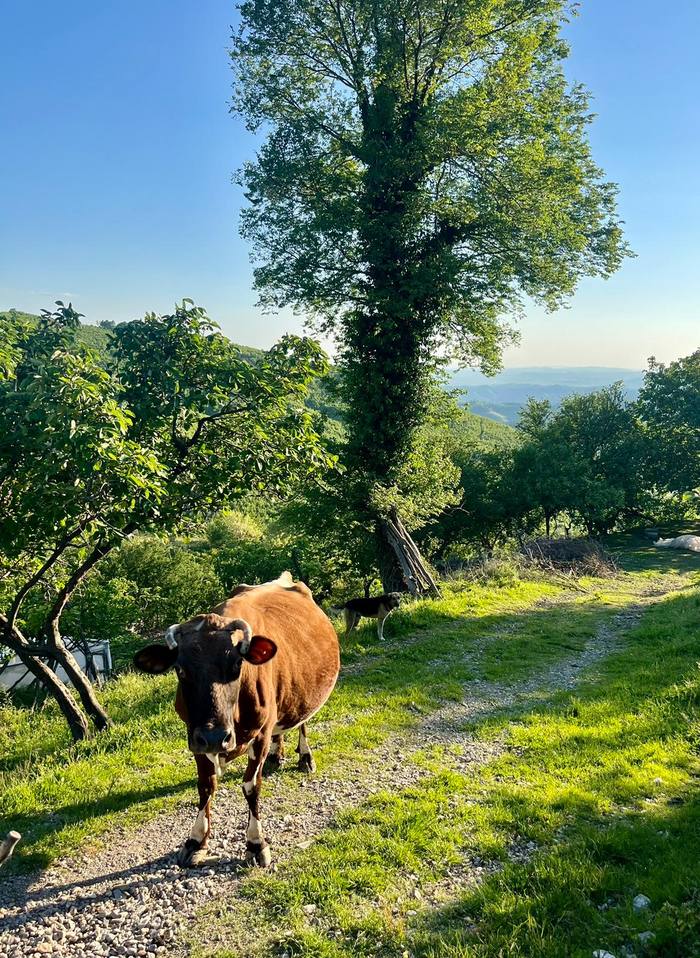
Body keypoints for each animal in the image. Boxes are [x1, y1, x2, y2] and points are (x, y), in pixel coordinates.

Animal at [133, 572, 340, 869]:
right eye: (180, 670)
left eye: (237, 665)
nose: (215, 737)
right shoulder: (194, 736)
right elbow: (206, 785)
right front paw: (196, 840)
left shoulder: (260, 732)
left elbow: (251, 786)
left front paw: (255, 843)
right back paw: (277, 754)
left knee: (302, 722)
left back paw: (305, 757)